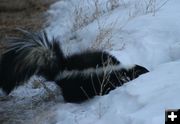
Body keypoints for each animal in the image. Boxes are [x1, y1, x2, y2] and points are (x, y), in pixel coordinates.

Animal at [0, 29, 149, 102]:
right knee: (70, 94)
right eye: (142, 71)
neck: (120, 69)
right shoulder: (106, 78)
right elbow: (108, 87)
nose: (149, 71)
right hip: (73, 84)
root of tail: (59, 67)